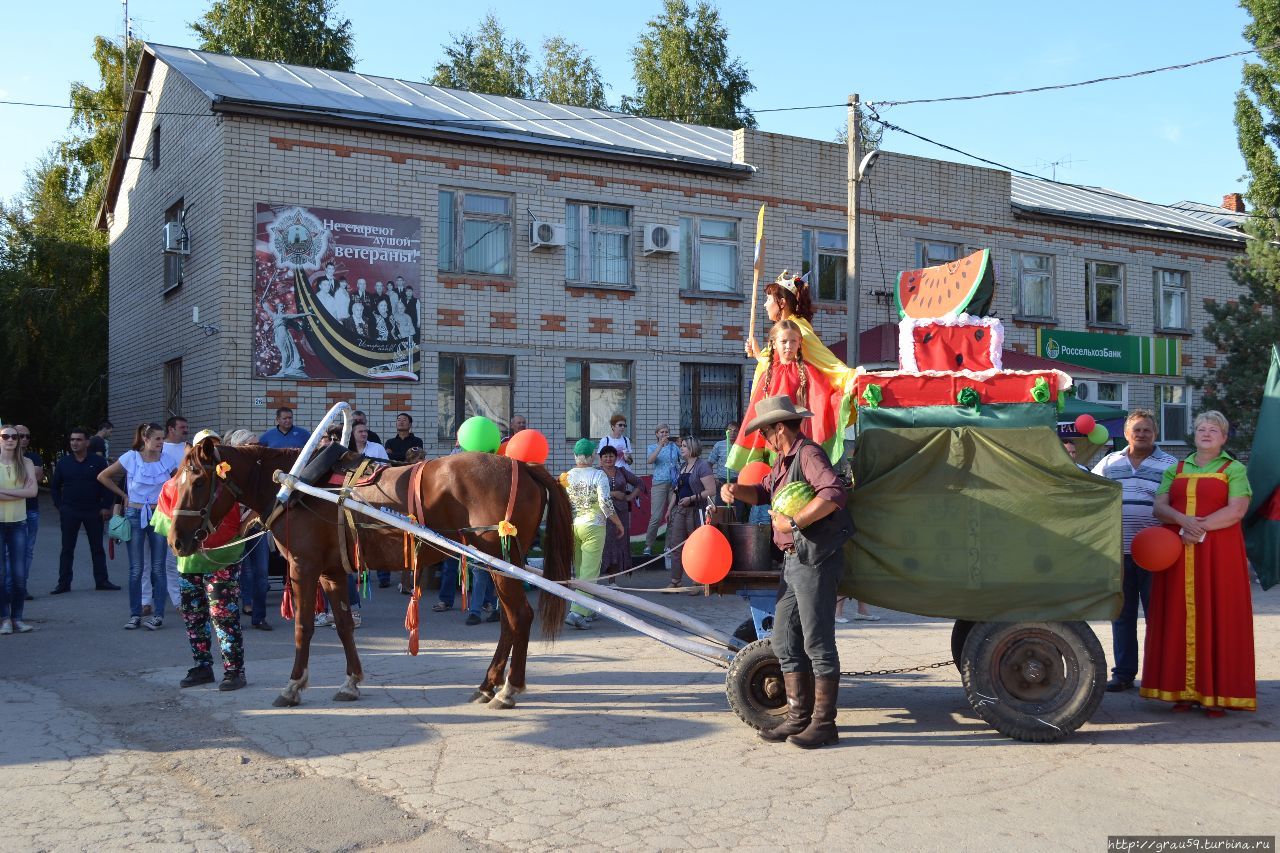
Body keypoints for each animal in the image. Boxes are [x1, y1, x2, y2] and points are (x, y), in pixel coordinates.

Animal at [167, 438, 573, 701]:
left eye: (198, 480)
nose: (176, 541)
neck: (297, 485)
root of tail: (522, 466)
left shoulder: (303, 567)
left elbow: (302, 628)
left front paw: (294, 685)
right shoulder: (331, 571)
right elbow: (344, 625)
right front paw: (351, 681)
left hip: (499, 561)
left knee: (519, 617)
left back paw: (508, 688)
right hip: (498, 563)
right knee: (509, 621)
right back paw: (489, 683)